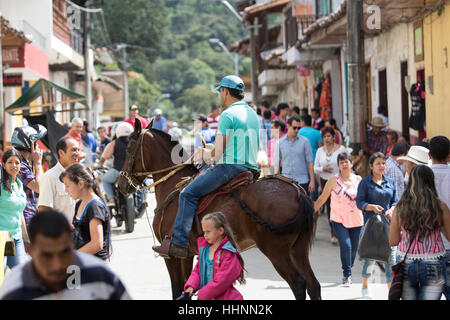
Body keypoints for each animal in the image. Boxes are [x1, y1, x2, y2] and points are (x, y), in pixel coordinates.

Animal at [118, 119, 322, 300]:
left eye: (128, 149)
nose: (121, 184)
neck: (173, 187)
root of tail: (297, 191)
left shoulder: (170, 256)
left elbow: (177, 290)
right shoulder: (186, 254)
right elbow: (186, 289)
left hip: (276, 251)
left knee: (299, 284)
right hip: (298, 250)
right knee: (313, 285)